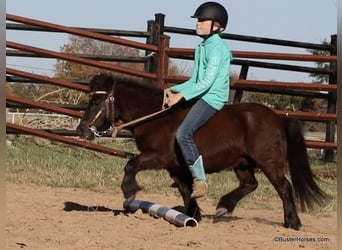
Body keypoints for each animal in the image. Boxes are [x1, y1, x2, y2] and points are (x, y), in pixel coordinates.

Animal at [76, 73, 328, 229]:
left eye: (96, 102)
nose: (81, 130)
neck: (157, 117)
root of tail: (278, 118)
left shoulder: (158, 157)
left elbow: (130, 166)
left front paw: (129, 192)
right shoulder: (175, 167)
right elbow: (186, 190)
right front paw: (192, 215)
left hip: (269, 163)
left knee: (284, 187)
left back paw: (292, 223)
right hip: (242, 163)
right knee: (250, 184)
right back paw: (224, 206)